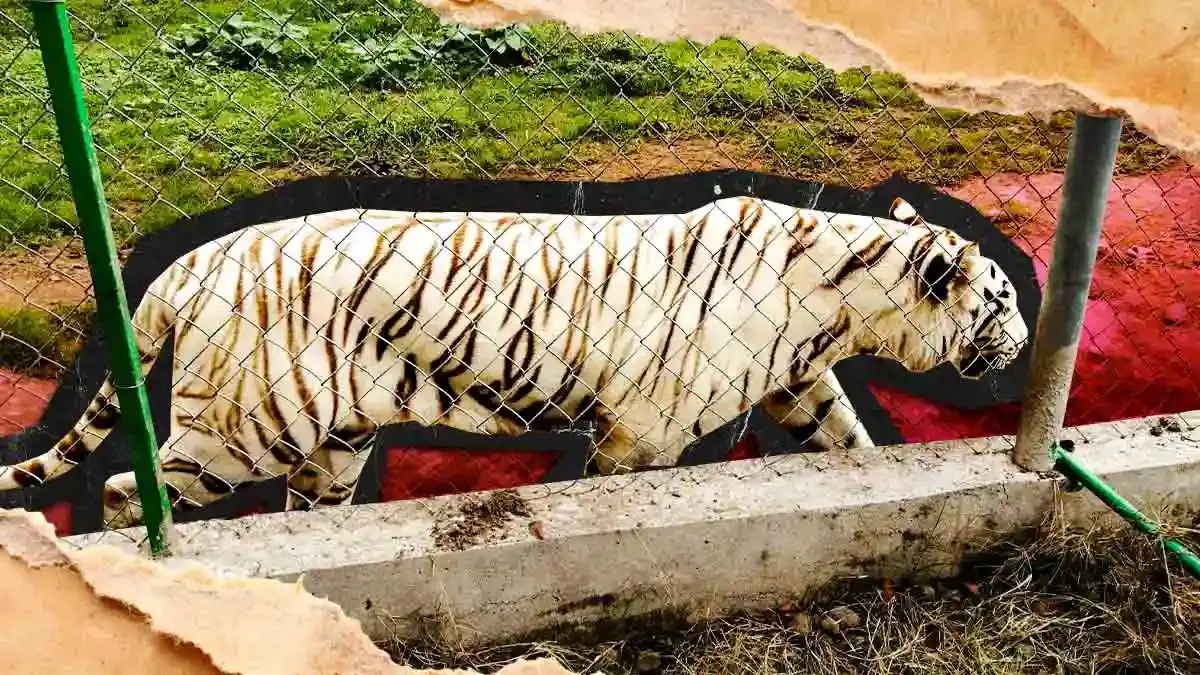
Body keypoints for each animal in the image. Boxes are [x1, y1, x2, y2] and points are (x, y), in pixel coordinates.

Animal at [0, 194, 1028, 529]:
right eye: (1005, 298)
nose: (1025, 343)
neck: (845, 303)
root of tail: (189, 258)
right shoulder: (642, 432)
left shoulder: (800, 380)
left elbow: (850, 440)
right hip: (245, 426)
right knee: (127, 488)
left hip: (332, 442)